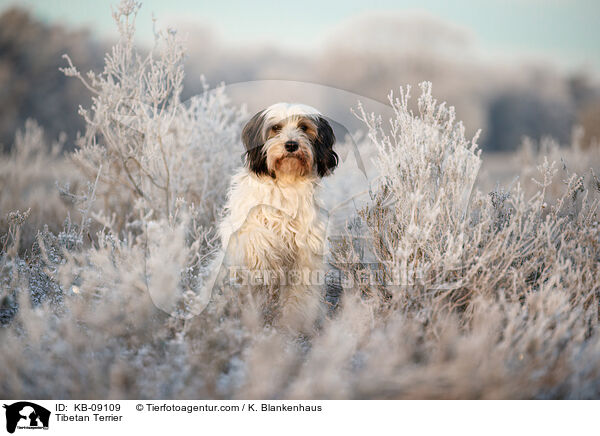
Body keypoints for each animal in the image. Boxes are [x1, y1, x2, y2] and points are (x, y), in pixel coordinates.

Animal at [218, 103, 338, 334]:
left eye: (304, 127)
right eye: (276, 128)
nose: (291, 145)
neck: (286, 180)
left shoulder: (307, 250)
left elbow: (300, 292)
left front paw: (293, 322)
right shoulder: (250, 233)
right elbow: (260, 244)